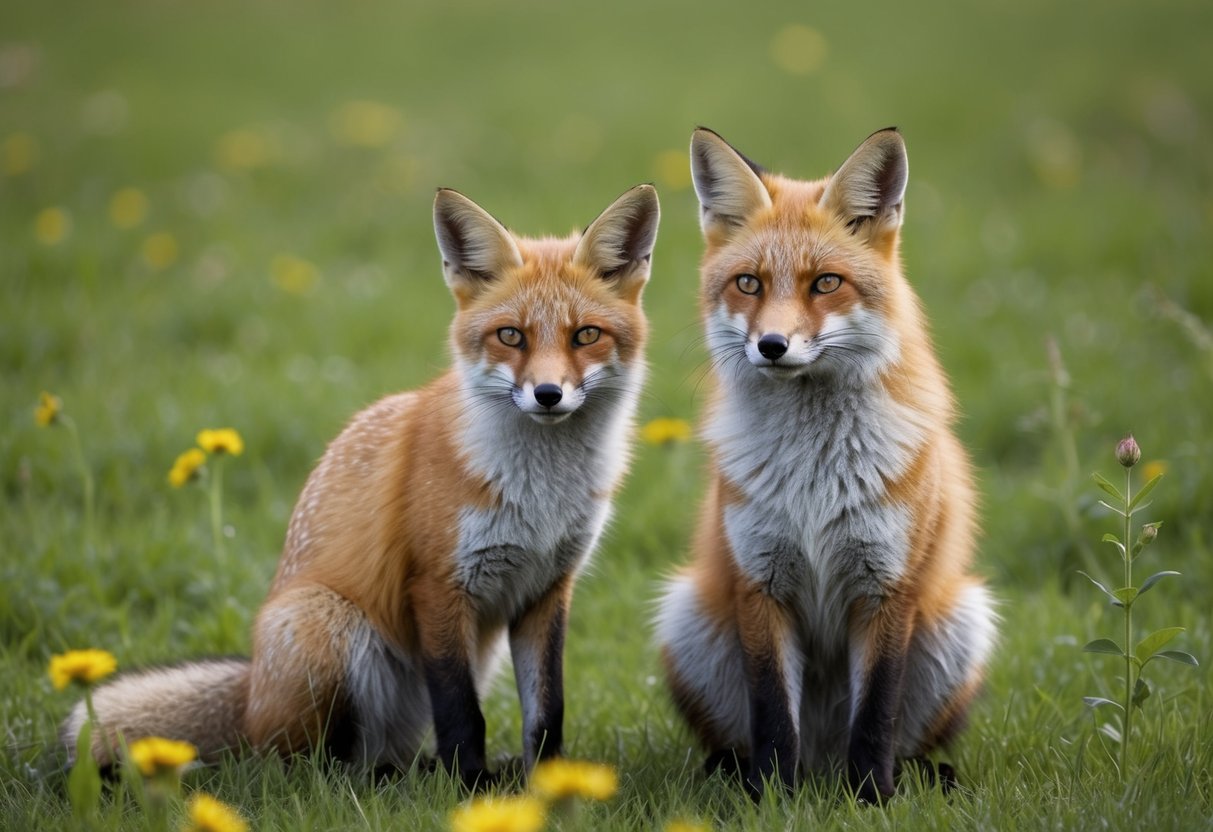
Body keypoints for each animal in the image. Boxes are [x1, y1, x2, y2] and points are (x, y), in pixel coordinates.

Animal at [63, 183, 660, 787]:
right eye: (510, 336)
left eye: (586, 335)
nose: (547, 394)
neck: (540, 495)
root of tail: (250, 692)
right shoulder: (438, 584)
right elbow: (461, 711)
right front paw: (471, 787)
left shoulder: (547, 589)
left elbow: (546, 709)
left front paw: (551, 782)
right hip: (328, 628)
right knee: (307, 767)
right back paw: (386, 779)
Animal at [654, 127, 996, 803]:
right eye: (750, 284)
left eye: (825, 283)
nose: (771, 345)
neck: (813, 474)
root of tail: (822, 760)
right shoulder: (760, 581)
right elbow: (770, 715)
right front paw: (771, 800)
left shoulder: (888, 585)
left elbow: (877, 714)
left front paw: (873, 801)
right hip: (687, 615)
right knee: (750, 739)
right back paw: (743, 775)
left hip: (961, 619)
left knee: (899, 743)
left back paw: (910, 779)